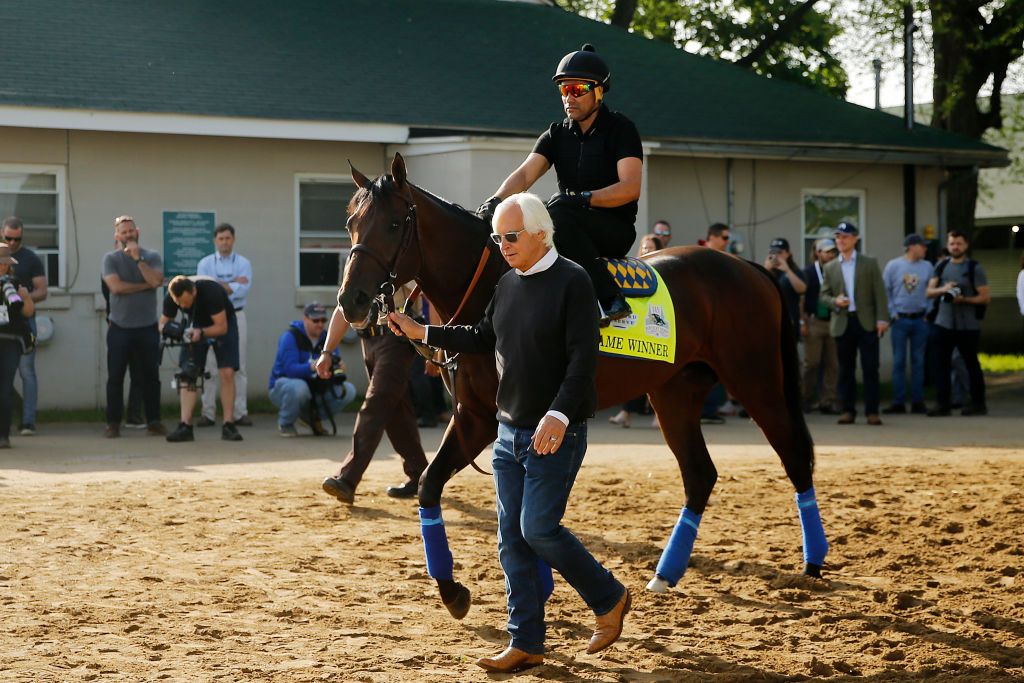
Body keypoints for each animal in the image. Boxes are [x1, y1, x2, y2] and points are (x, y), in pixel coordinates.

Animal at [339, 153, 827, 618]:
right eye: (350, 223)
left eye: (394, 223)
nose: (351, 300)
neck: (489, 284)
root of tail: (748, 267)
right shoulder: (475, 416)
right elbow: (431, 485)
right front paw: (455, 590)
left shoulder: (493, 420)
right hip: (674, 393)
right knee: (700, 474)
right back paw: (666, 574)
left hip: (755, 379)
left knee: (793, 454)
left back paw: (813, 561)